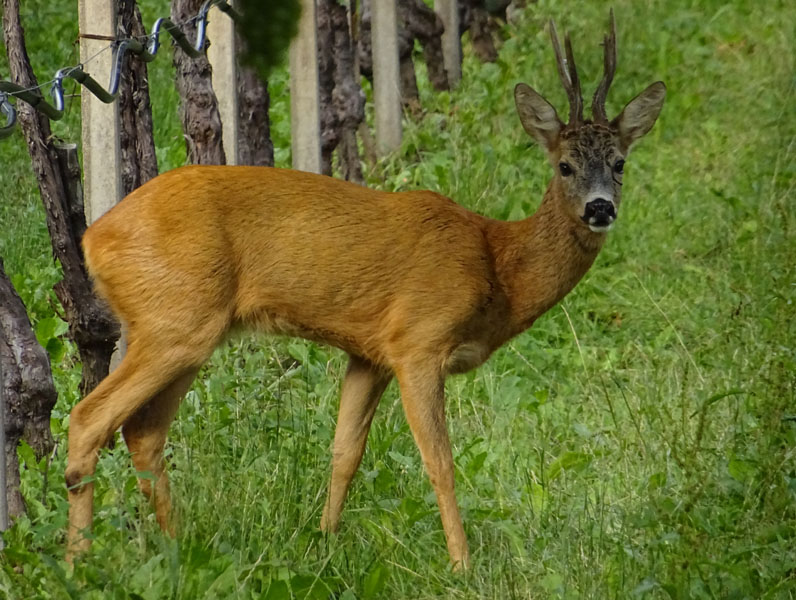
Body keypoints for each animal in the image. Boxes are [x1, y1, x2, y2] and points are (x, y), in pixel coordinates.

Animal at [67, 11, 664, 568]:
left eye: (620, 163)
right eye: (564, 166)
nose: (600, 208)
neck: (498, 266)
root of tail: (94, 237)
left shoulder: (368, 353)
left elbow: (344, 452)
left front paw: (325, 541)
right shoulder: (418, 341)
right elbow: (440, 462)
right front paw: (462, 563)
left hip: (185, 330)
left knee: (144, 432)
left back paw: (177, 548)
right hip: (175, 320)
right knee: (88, 418)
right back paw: (79, 561)